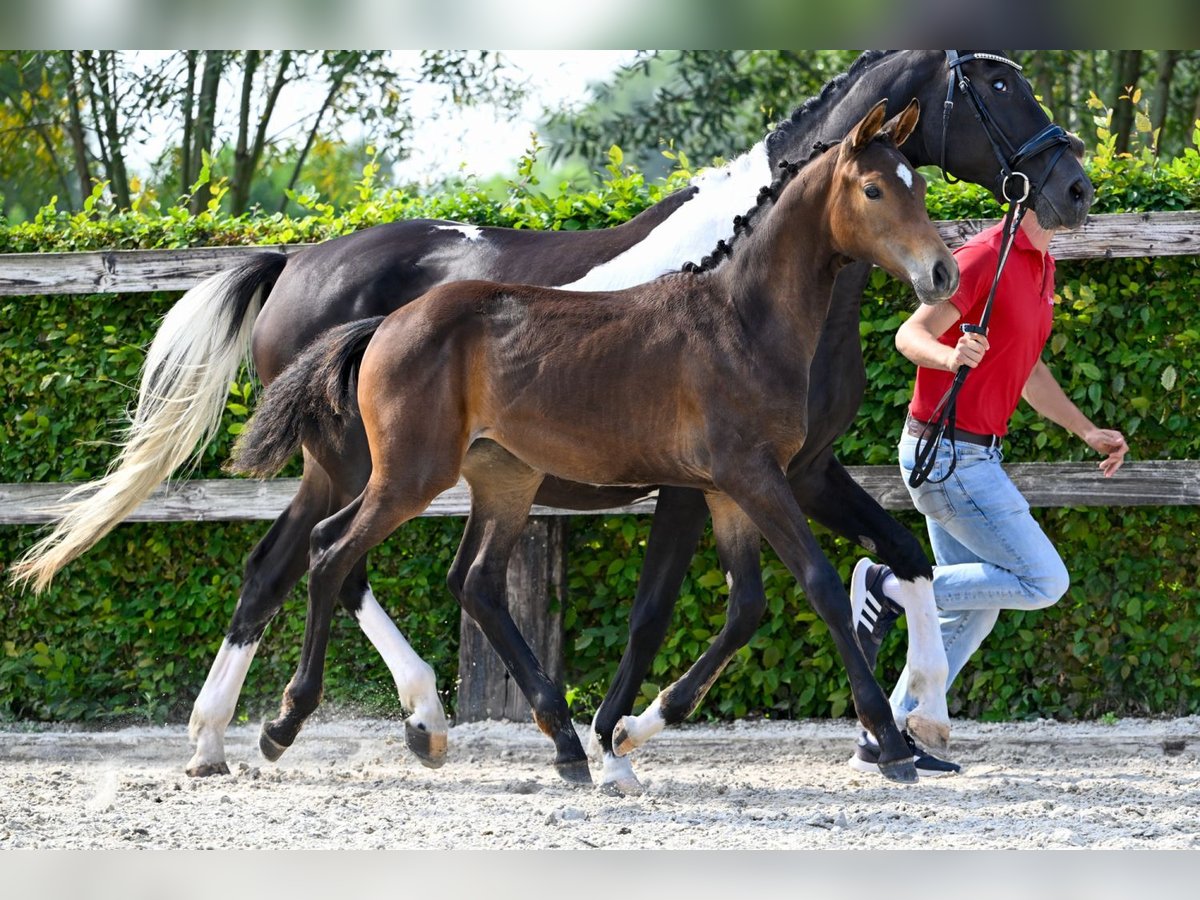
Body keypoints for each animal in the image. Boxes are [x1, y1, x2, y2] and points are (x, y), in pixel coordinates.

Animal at [231, 98, 955, 787]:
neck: (741, 321)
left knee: (464, 579)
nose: (943, 273)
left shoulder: (730, 489)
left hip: (502, 478)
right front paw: (891, 743)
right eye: (873, 189)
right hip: (410, 475)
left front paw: (630, 730)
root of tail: (383, 324)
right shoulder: (754, 477)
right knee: (330, 554)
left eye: (920, 184)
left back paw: (561, 744)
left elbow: (747, 606)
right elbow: (817, 584)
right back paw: (285, 724)